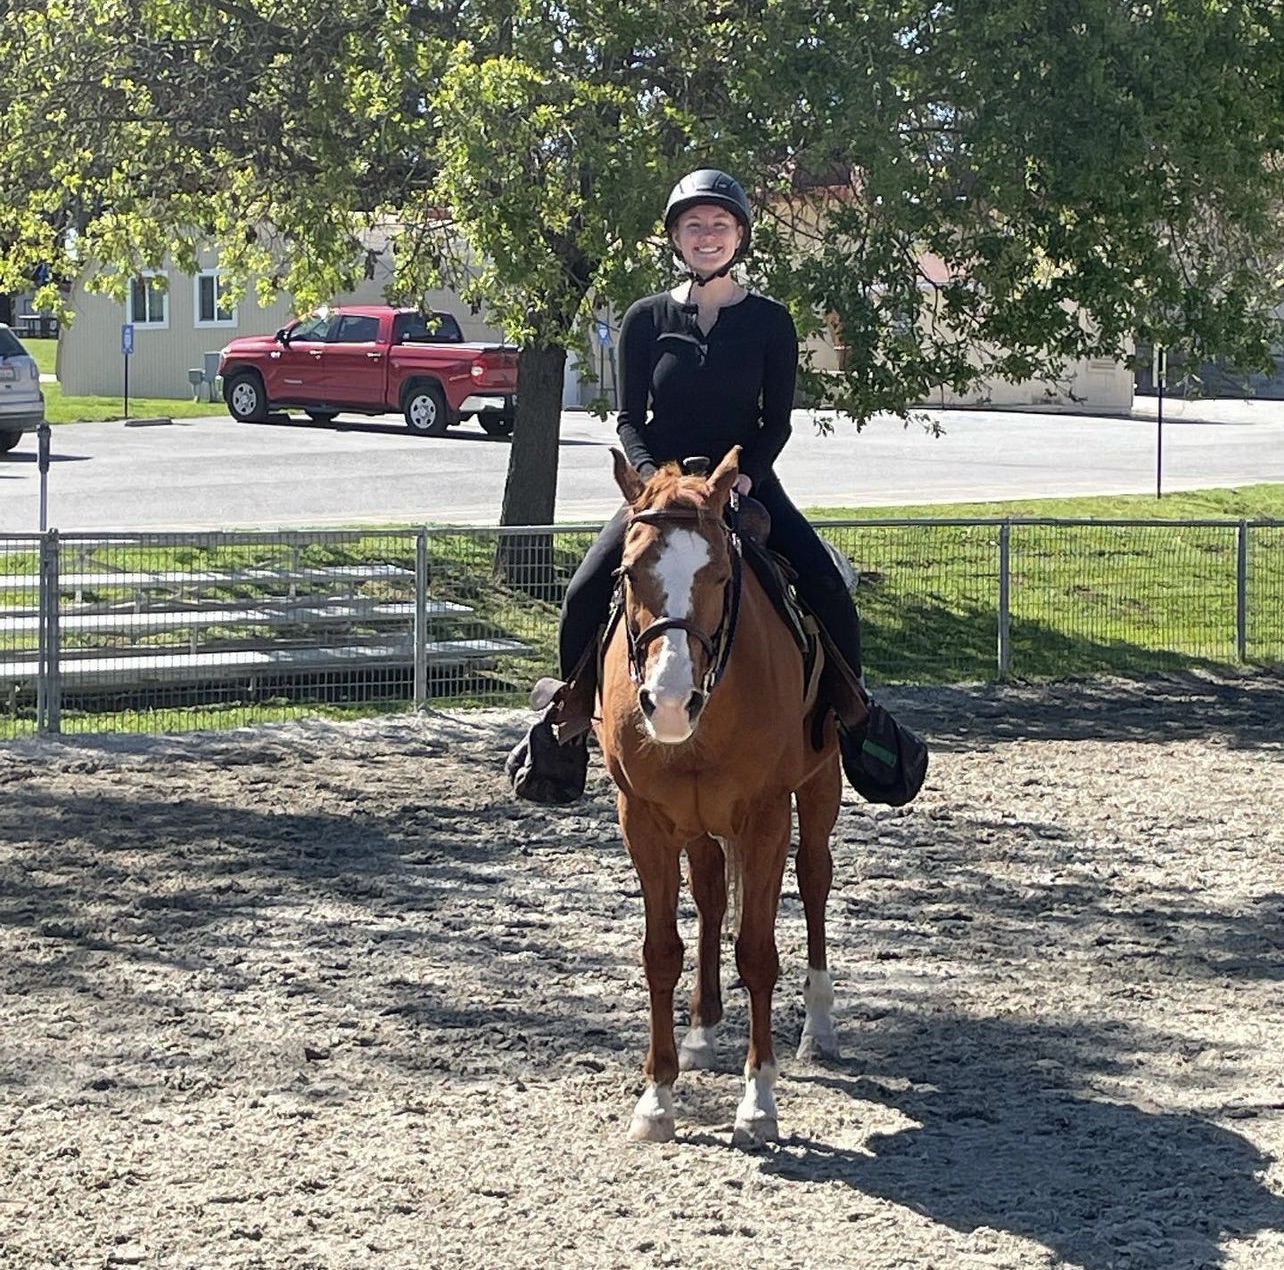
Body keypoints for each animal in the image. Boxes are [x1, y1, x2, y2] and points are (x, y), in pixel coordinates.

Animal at [598, 449, 847, 1150]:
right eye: (630, 573)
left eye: (717, 574)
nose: (669, 702)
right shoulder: (644, 821)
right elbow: (661, 954)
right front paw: (657, 1098)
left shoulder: (765, 817)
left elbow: (758, 953)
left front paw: (758, 1103)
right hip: (698, 824)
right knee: (710, 894)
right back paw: (703, 1029)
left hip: (819, 786)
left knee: (813, 881)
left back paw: (819, 1027)